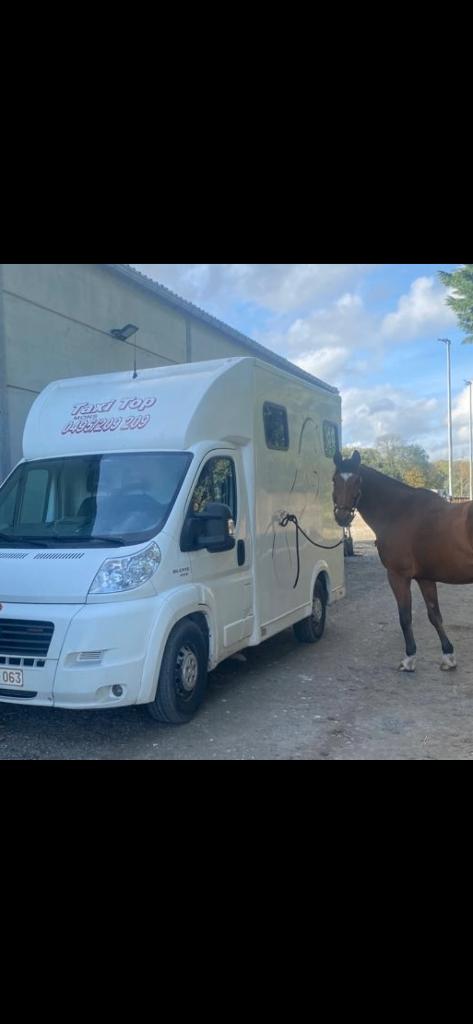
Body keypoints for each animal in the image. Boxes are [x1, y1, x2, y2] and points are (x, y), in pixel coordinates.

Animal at [331, 449, 473, 673]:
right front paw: (448, 655)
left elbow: (405, 617)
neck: (398, 512)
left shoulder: (398, 576)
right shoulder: (425, 578)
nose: (342, 517)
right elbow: (434, 615)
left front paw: (409, 658)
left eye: (357, 480)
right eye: (334, 479)